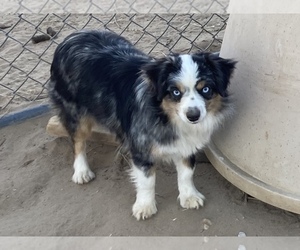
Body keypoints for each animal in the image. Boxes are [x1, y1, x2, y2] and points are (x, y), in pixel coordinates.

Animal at [48, 29, 237, 221]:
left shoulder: (188, 145)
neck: (166, 117)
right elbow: (147, 181)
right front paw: (145, 206)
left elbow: (186, 173)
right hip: (76, 114)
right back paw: (81, 171)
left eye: (205, 89)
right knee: (78, 142)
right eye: (175, 92)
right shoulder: (141, 149)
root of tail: (73, 35)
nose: (193, 116)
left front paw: (189, 196)